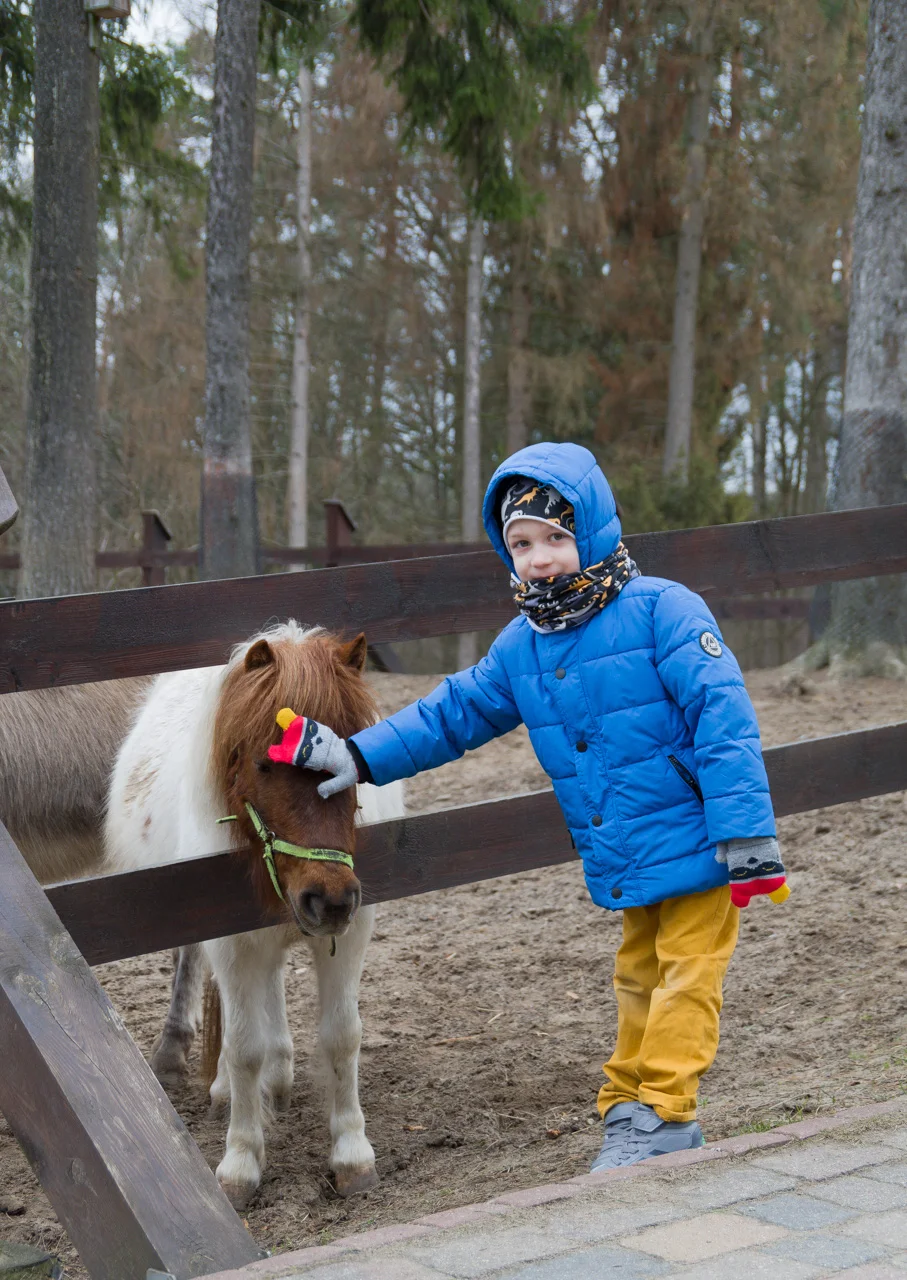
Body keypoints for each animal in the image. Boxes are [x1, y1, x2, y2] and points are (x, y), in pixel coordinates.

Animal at [99, 622, 404, 1208]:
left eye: (351, 766)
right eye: (264, 764)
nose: (330, 900)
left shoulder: (348, 935)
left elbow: (342, 1034)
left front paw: (352, 1154)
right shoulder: (234, 942)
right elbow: (244, 1049)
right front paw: (240, 1163)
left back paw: (280, 1076)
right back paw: (232, 1086)